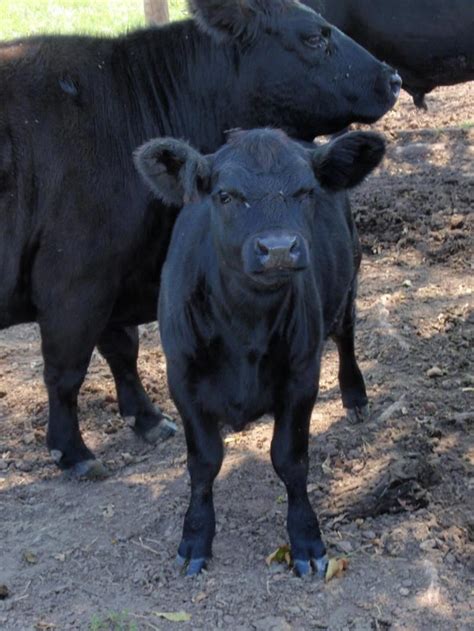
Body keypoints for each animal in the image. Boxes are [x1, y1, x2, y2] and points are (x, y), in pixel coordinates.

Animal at [0, 0, 400, 478]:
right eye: (313, 37)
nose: (393, 79)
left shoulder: (113, 276)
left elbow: (122, 349)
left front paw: (147, 419)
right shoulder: (75, 281)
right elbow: (66, 371)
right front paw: (71, 451)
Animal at [135, 128, 386, 576]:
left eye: (306, 191)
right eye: (225, 195)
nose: (280, 249)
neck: (244, 324)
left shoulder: (302, 375)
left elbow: (290, 459)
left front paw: (306, 539)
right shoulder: (181, 377)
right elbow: (203, 463)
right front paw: (195, 538)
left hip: (350, 278)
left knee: (346, 334)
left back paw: (355, 396)